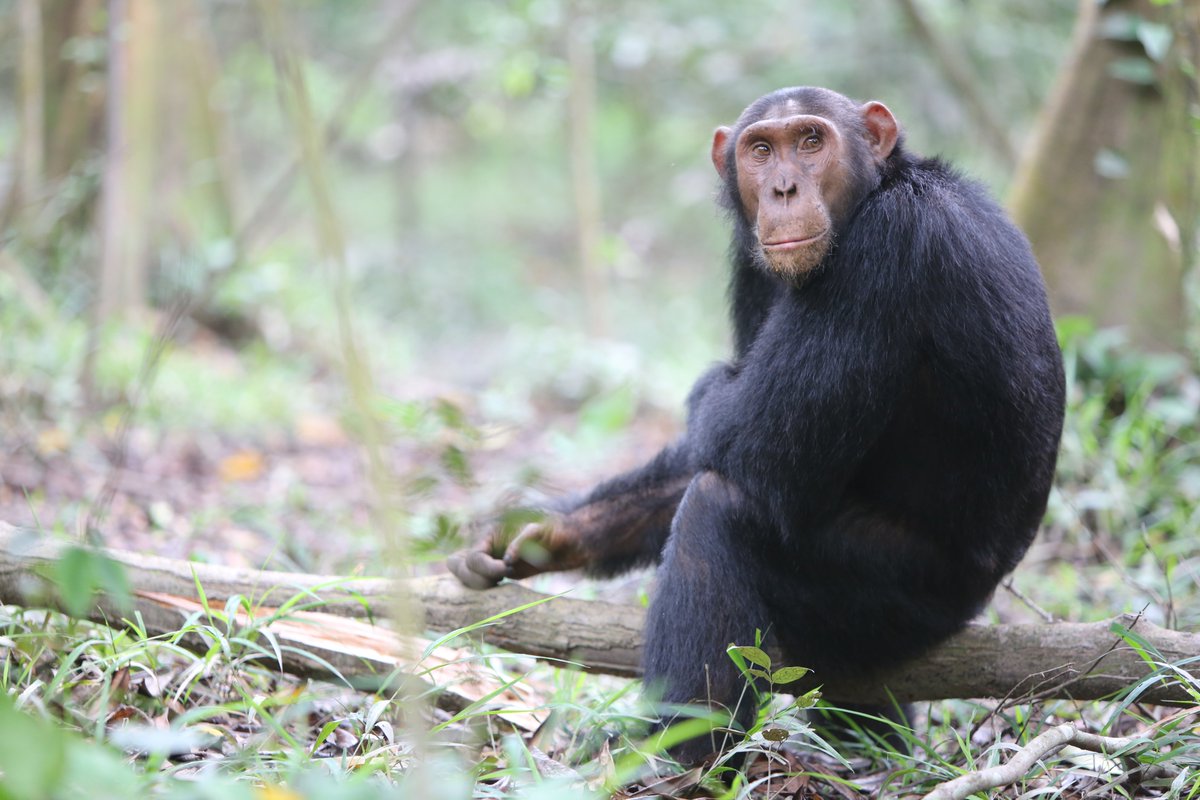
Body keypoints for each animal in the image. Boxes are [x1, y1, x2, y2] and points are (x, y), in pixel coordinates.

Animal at [446, 87, 1065, 762]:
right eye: (762, 150)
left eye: (812, 142)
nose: (784, 188)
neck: (880, 190)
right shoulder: (749, 266)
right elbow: (725, 445)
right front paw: (551, 531)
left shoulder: (890, 247)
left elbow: (752, 446)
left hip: (897, 602)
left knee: (719, 508)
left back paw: (679, 760)